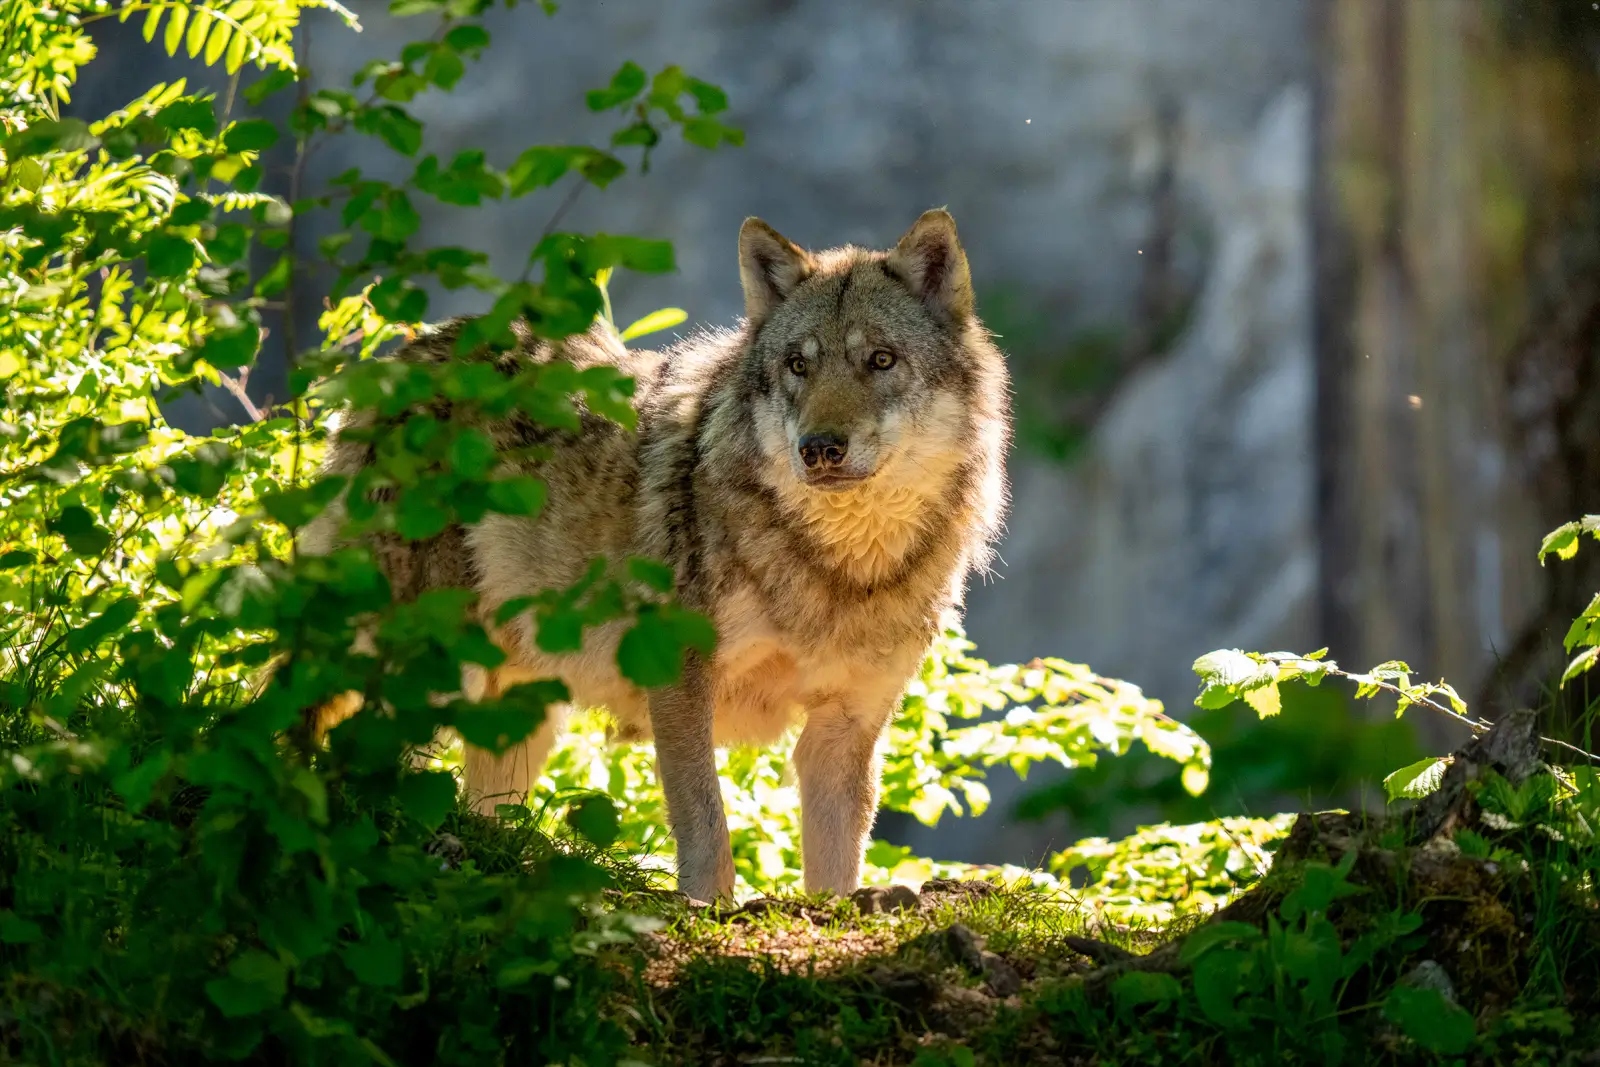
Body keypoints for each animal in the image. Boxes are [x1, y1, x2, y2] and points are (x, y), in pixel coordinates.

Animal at [300, 209, 1011, 902]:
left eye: (881, 360)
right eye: (797, 366)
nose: (819, 449)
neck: (837, 565)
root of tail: (408, 357)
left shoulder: (844, 728)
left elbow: (834, 876)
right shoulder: (678, 680)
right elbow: (706, 830)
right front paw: (704, 913)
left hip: (517, 711)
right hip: (437, 676)